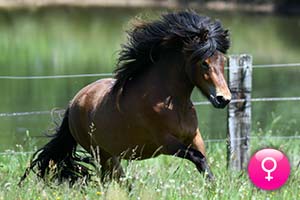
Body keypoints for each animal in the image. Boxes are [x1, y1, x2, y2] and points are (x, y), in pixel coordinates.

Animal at [19, 10, 231, 184]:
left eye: (223, 60)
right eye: (204, 63)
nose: (224, 99)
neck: (172, 103)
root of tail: (73, 104)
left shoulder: (195, 137)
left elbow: (204, 162)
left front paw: (214, 188)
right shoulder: (165, 143)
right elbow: (198, 158)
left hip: (112, 154)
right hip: (103, 155)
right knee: (112, 180)